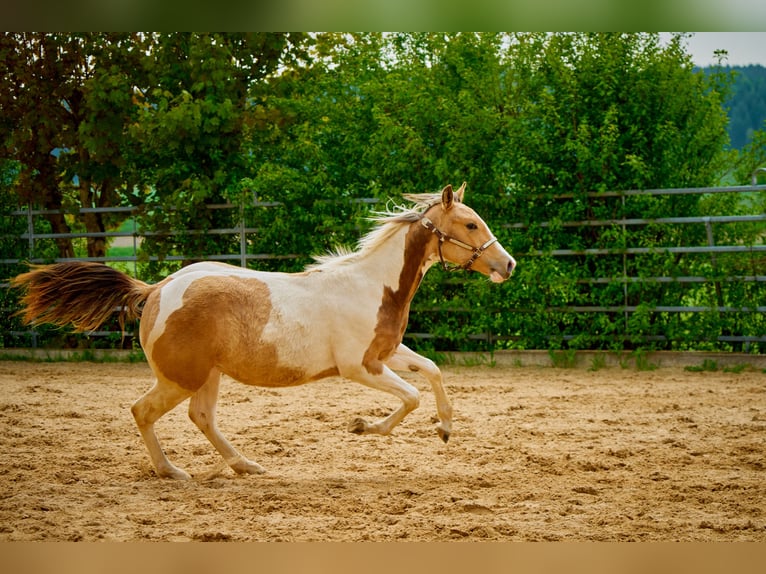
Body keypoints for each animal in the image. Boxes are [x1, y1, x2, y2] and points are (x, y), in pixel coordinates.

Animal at [10, 182, 516, 480]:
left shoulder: (387, 354)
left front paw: (445, 428)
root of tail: (156, 289)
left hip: (207, 376)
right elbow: (410, 397)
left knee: (201, 417)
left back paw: (245, 465)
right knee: (143, 411)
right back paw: (172, 471)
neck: (372, 285)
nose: (507, 264)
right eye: (470, 223)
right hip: (180, 377)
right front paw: (362, 426)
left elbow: (432, 370)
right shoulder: (360, 367)